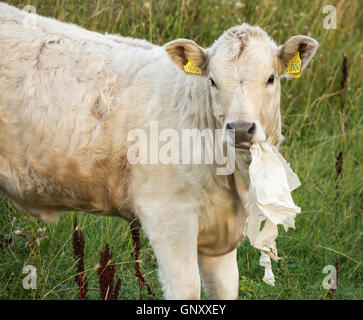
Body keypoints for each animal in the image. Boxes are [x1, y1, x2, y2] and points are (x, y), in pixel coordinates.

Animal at [0, 2, 318, 298]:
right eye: (212, 81)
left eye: (271, 78)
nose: (240, 128)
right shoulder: (168, 215)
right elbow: (187, 289)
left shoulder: (220, 235)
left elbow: (227, 288)